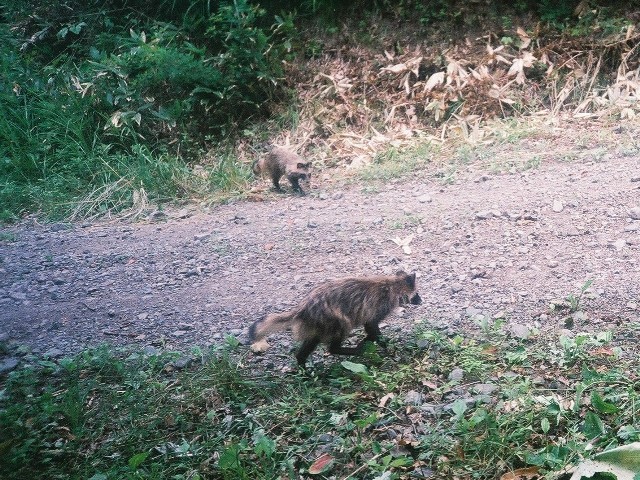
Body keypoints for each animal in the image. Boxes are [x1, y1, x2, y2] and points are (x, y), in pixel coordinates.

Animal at [249, 272, 420, 366]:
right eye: (417, 294)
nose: (421, 301)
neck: (394, 284)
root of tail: (301, 309)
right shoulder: (381, 303)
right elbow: (371, 325)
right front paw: (385, 346)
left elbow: (370, 329)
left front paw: (370, 340)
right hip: (331, 318)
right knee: (342, 328)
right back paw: (341, 349)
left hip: (316, 323)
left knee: (312, 341)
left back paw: (301, 361)